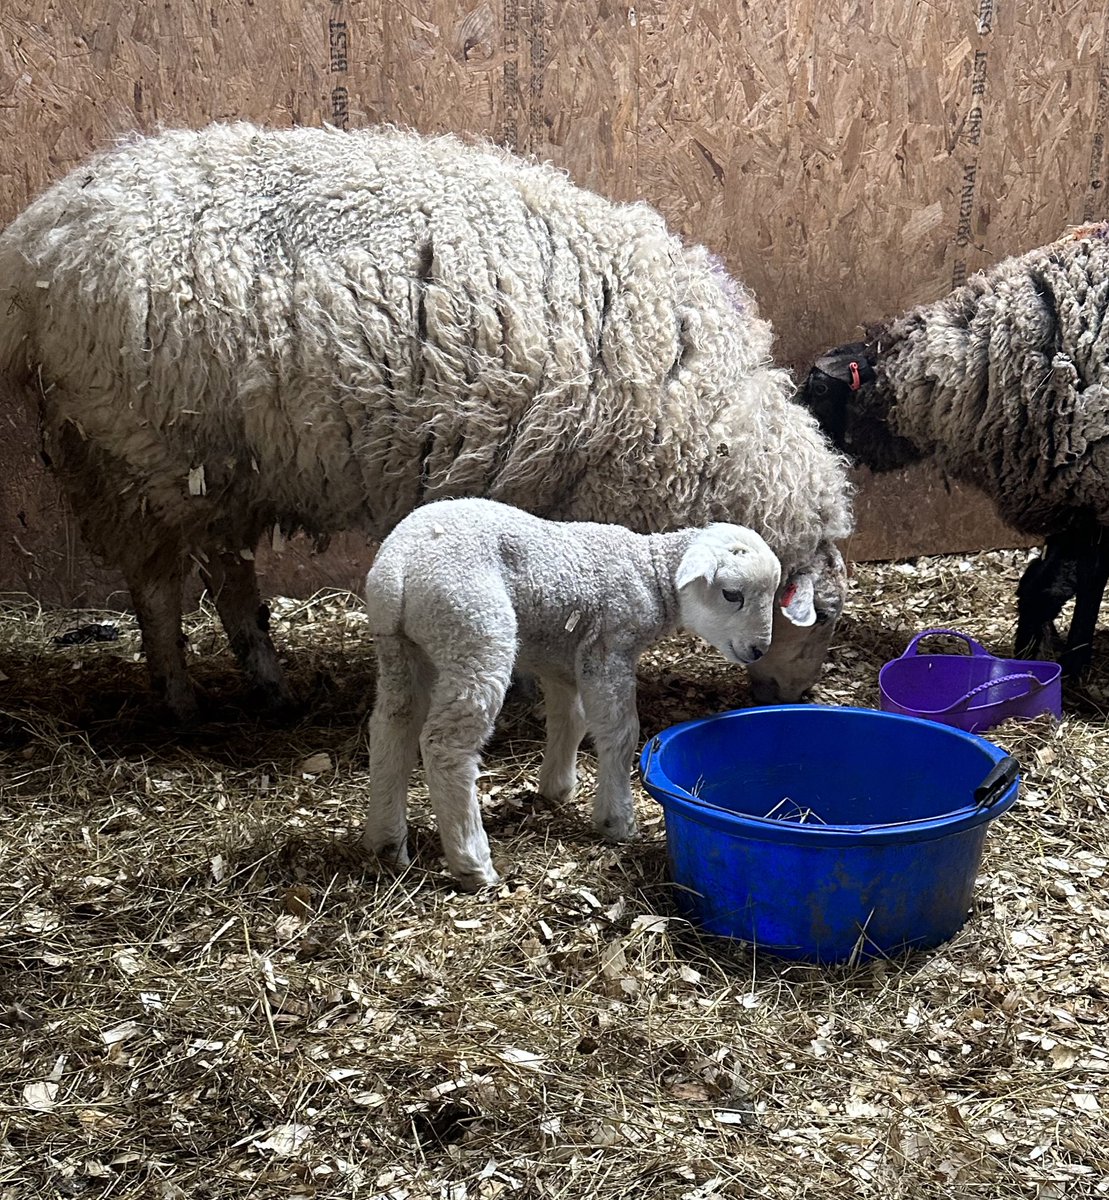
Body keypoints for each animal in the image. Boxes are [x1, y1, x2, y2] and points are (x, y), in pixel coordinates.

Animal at [0, 123, 854, 715]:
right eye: (820, 621)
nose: (793, 696)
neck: (700, 409)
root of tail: (36, 239)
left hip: (215, 473)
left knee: (231, 583)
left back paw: (270, 687)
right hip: (138, 460)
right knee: (156, 590)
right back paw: (179, 698)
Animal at [364, 496, 787, 892]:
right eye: (731, 594)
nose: (759, 650)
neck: (651, 574)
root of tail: (398, 567)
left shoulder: (562, 656)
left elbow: (571, 718)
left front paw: (558, 787)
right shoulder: (609, 648)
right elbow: (620, 732)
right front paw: (616, 820)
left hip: (402, 648)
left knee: (391, 726)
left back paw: (386, 841)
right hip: (474, 631)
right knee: (445, 746)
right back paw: (473, 863)